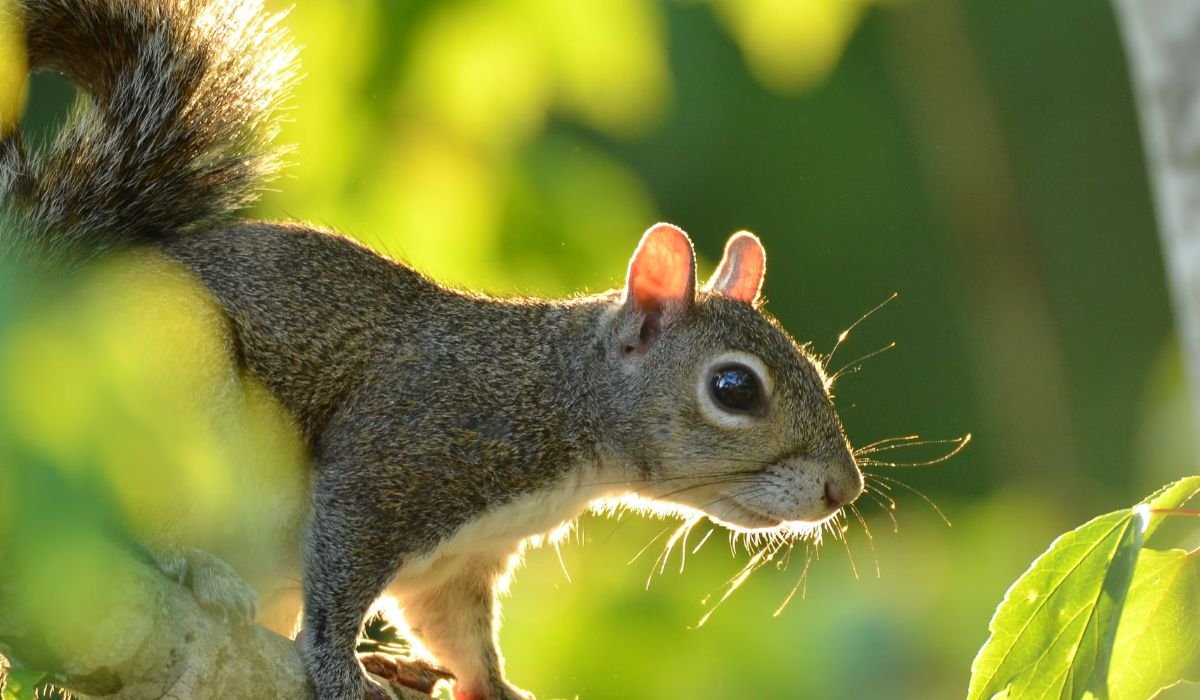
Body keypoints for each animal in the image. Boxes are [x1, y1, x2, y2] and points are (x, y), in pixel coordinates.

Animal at [1, 1, 865, 699]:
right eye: (734, 389)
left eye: (819, 373)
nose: (844, 490)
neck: (563, 401)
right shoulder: (403, 451)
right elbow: (343, 570)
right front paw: (340, 667)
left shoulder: (459, 563)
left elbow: (455, 628)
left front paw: (496, 686)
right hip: (161, 402)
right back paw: (196, 568)